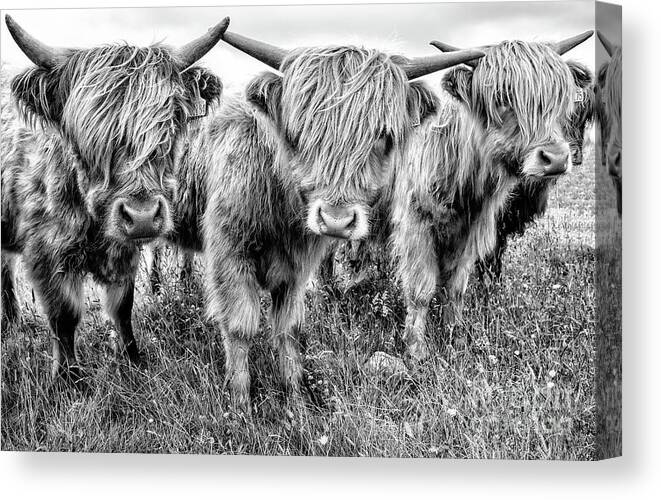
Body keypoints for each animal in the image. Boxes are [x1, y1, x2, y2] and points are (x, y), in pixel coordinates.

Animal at [163, 31, 484, 410]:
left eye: (383, 137)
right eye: (299, 134)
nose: (335, 221)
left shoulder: (297, 266)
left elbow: (288, 328)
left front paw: (296, 398)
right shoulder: (230, 255)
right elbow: (240, 327)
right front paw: (240, 404)